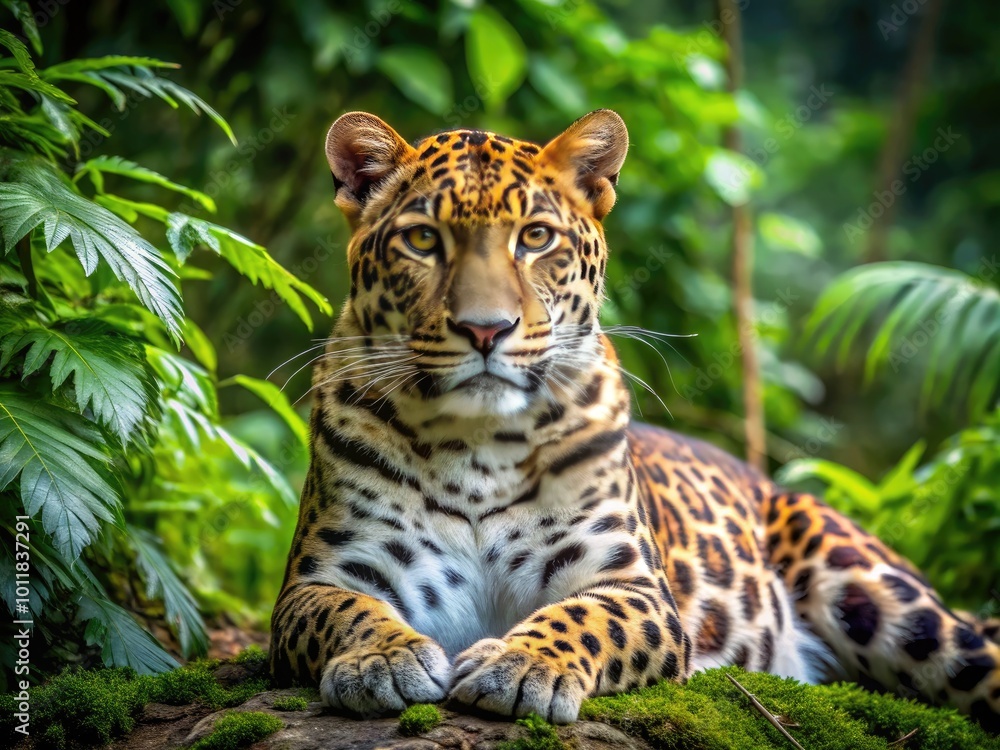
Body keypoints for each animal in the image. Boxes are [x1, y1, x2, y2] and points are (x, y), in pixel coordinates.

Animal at [269, 109, 1000, 730]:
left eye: (535, 237)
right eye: (422, 239)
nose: (486, 329)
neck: (476, 444)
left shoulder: (633, 582)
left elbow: (586, 618)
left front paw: (521, 663)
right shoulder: (325, 575)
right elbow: (346, 610)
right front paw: (381, 658)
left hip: (881, 594)